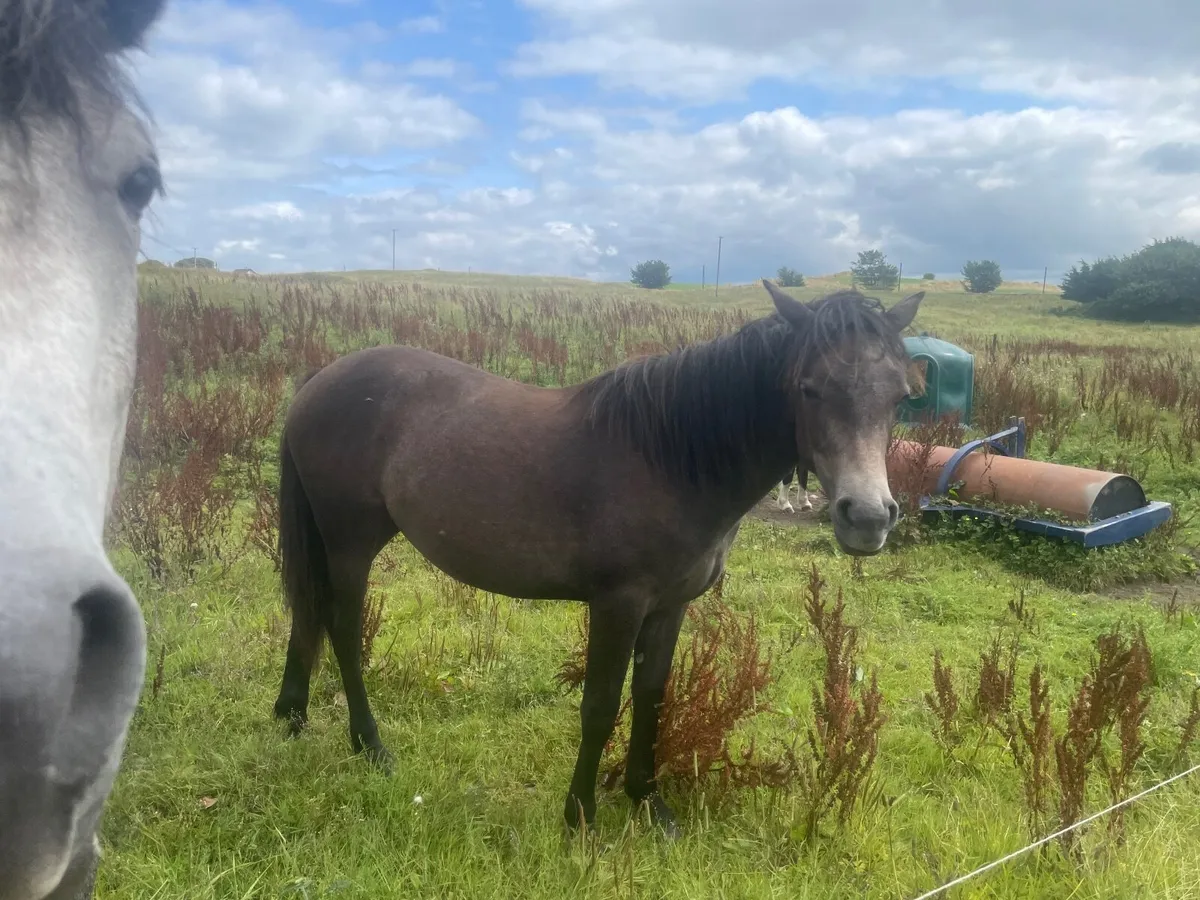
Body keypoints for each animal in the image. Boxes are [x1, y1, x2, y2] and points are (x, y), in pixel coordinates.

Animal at [272, 280, 924, 837]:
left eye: (899, 396)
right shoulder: (618, 604)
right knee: (341, 627)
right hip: (350, 543)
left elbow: (651, 697)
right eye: (809, 388)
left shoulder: (669, 606)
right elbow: (601, 705)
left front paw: (648, 802)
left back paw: (291, 716)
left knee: (309, 615)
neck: (670, 459)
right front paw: (580, 815)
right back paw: (369, 744)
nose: (867, 518)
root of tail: (318, 379)